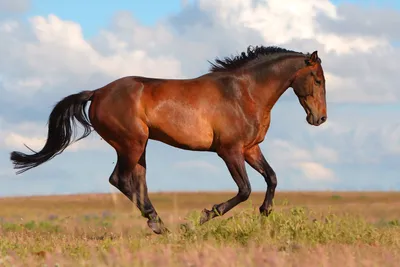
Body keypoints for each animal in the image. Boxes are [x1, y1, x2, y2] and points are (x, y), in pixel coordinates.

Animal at [10, 45, 328, 234]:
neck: (244, 93)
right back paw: (159, 224)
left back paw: (159, 224)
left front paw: (265, 213)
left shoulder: (250, 148)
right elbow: (245, 189)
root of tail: (98, 92)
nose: (320, 119)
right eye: (318, 80)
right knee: (120, 180)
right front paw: (206, 215)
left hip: (139, 148)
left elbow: (271, 178)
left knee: (137, 183)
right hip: (132, 143)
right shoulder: (229, 151)